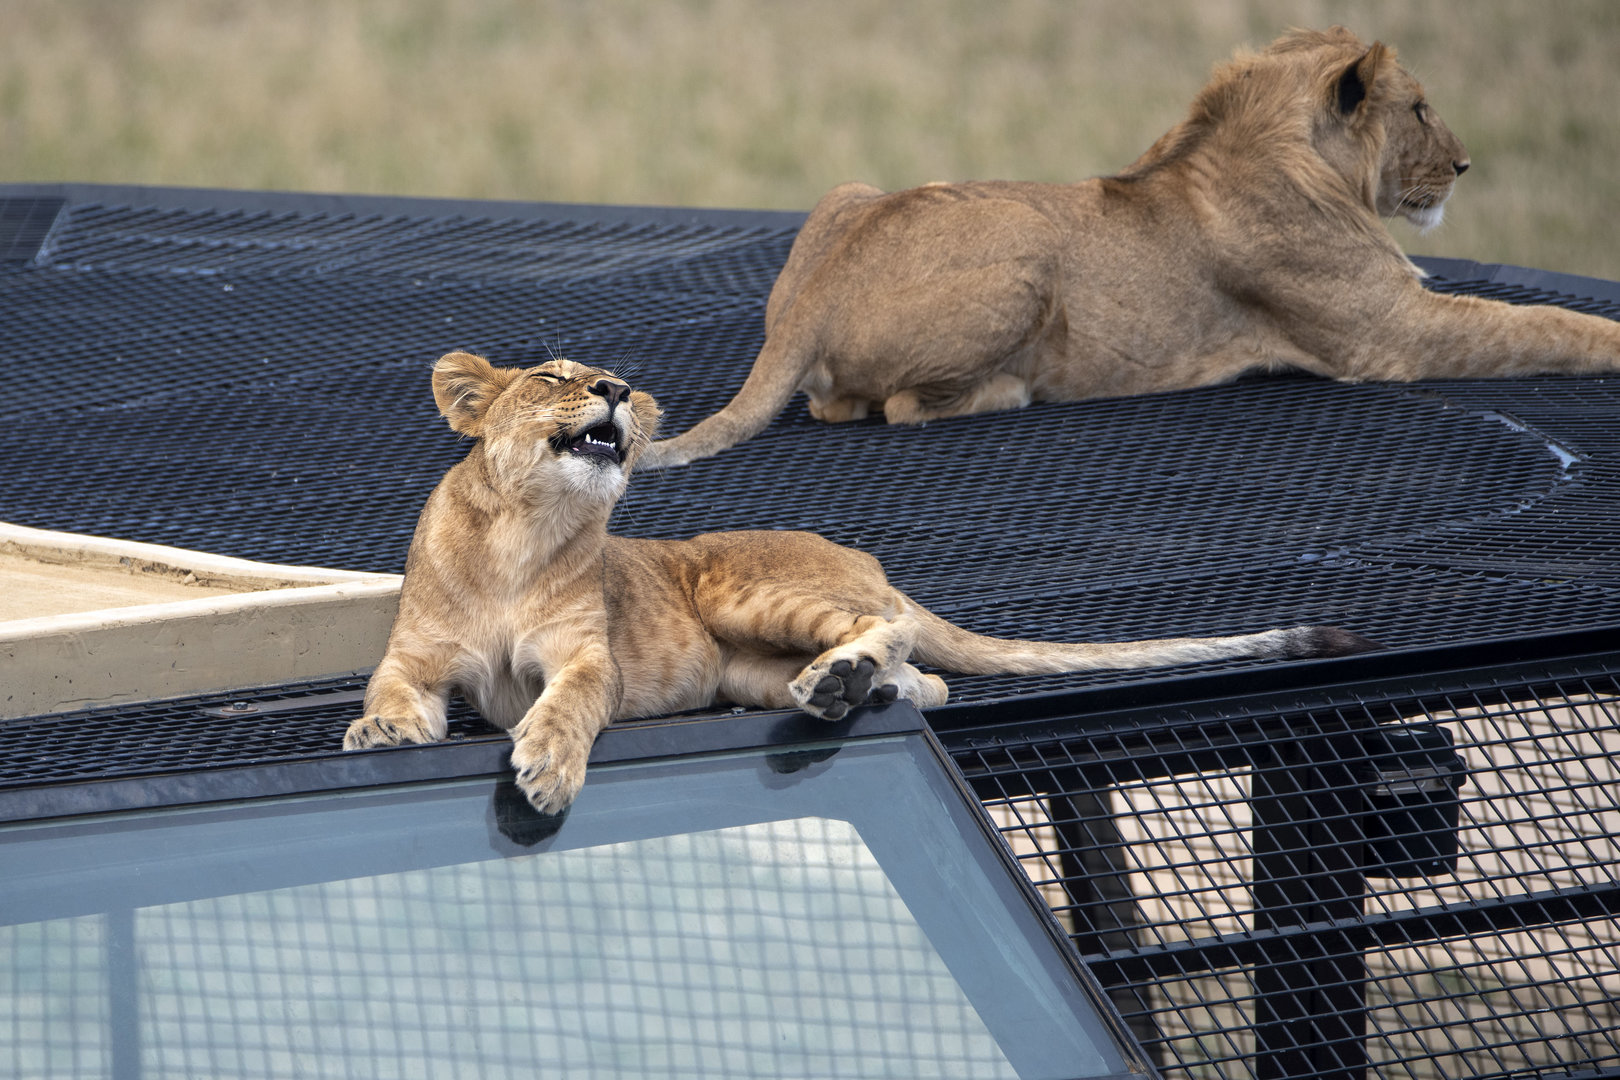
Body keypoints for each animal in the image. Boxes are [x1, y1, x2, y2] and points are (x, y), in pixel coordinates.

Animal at [344, 351, 1377, 814]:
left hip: (745, 591)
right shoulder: (418, 653)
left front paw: (548, 767)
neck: (523, 539)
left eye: (616, 383)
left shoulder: (588, 659)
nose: (617, 393)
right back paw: (853, 688)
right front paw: (381, 731)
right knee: (925, 680)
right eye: (557, 377)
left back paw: (848, 676)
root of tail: (867, 556)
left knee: (907, 639)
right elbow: (389, 688)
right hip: (744, 664)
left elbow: (564, 706)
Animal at [645, 26, 1620, 467]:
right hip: (1031, 242)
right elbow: (1540, 324)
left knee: (840, 407)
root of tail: (805, 310)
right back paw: (1007, 391)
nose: (1464, 164)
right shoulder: (1394, 334)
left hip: (851, 191)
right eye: (1419, 108)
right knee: (897, 409)